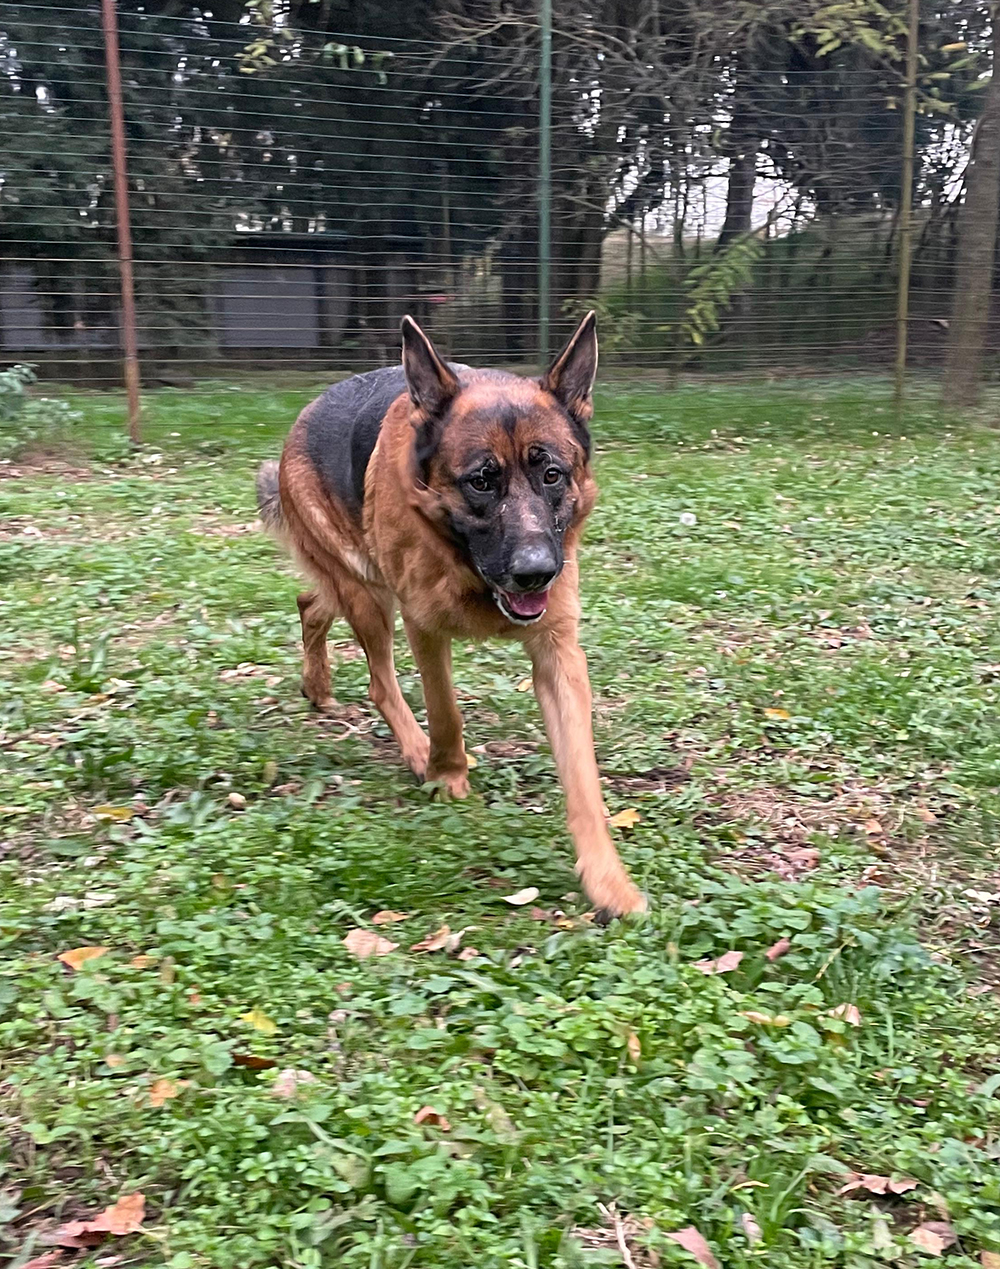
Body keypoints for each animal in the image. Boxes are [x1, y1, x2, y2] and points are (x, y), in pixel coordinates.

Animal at [256, 312, 646, 919]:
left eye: (552, 475)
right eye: (481, 481)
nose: (537, 572)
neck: (470, 572)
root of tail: (309, 411)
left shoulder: (559, 656)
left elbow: (583, 780)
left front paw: (608, 880)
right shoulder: (424, 628)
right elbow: (445, 713)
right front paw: (446, 775)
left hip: (357, 585)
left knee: (311, 603)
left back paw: (316, 685)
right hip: (370, 599)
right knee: (378, 679)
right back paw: (413, 747)